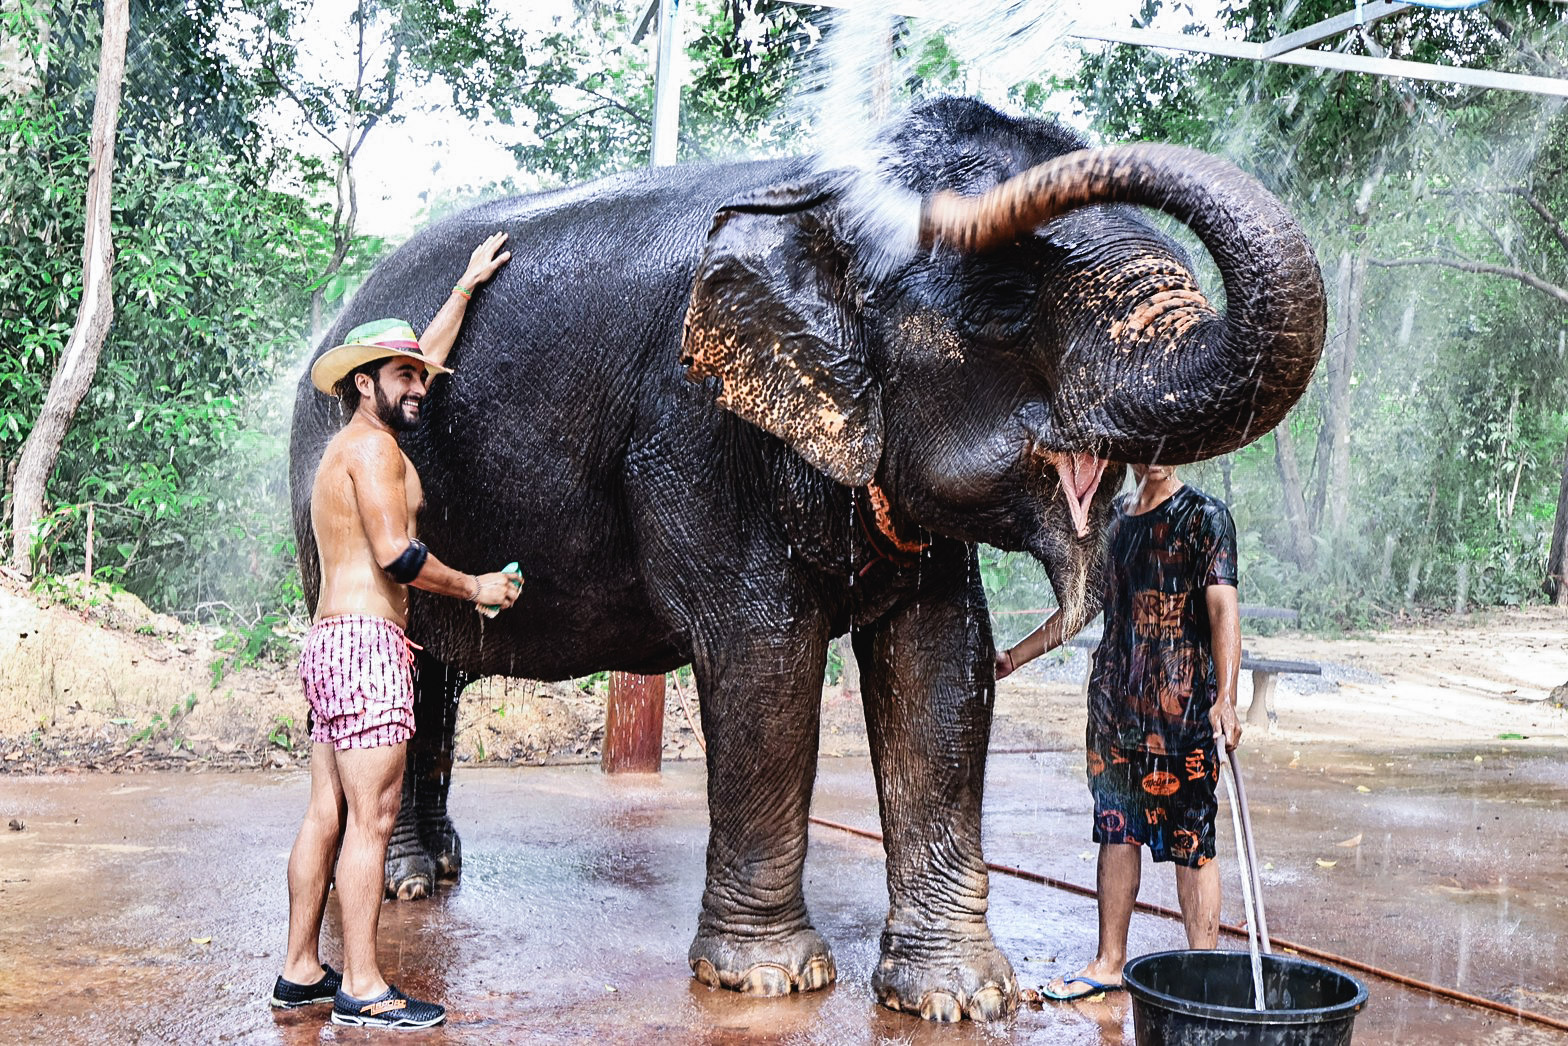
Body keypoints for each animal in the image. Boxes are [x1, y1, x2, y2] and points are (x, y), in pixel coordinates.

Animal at [291, 98, 1323, 1022]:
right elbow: (765, 655)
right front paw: (765, 980)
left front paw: (962, 997)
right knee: (409, 668)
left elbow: (942, 662)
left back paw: (434, 870)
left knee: (435, 675)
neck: (816, 211)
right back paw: (407, 885)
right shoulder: (694, 428)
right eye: (1003, 301)